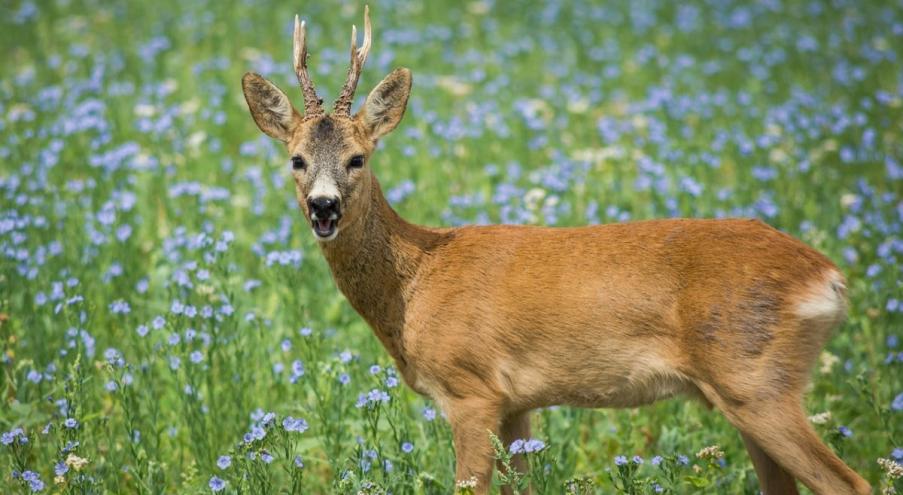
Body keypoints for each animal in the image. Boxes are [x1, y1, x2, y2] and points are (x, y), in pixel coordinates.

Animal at [242, 7, 876, 495]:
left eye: (358, 158)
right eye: (296, 159)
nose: (324, 207)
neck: (416, 282)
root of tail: (829, 277)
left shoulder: (470, 389)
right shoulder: (517, 401)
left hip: (756, 380)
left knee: (851, 483)